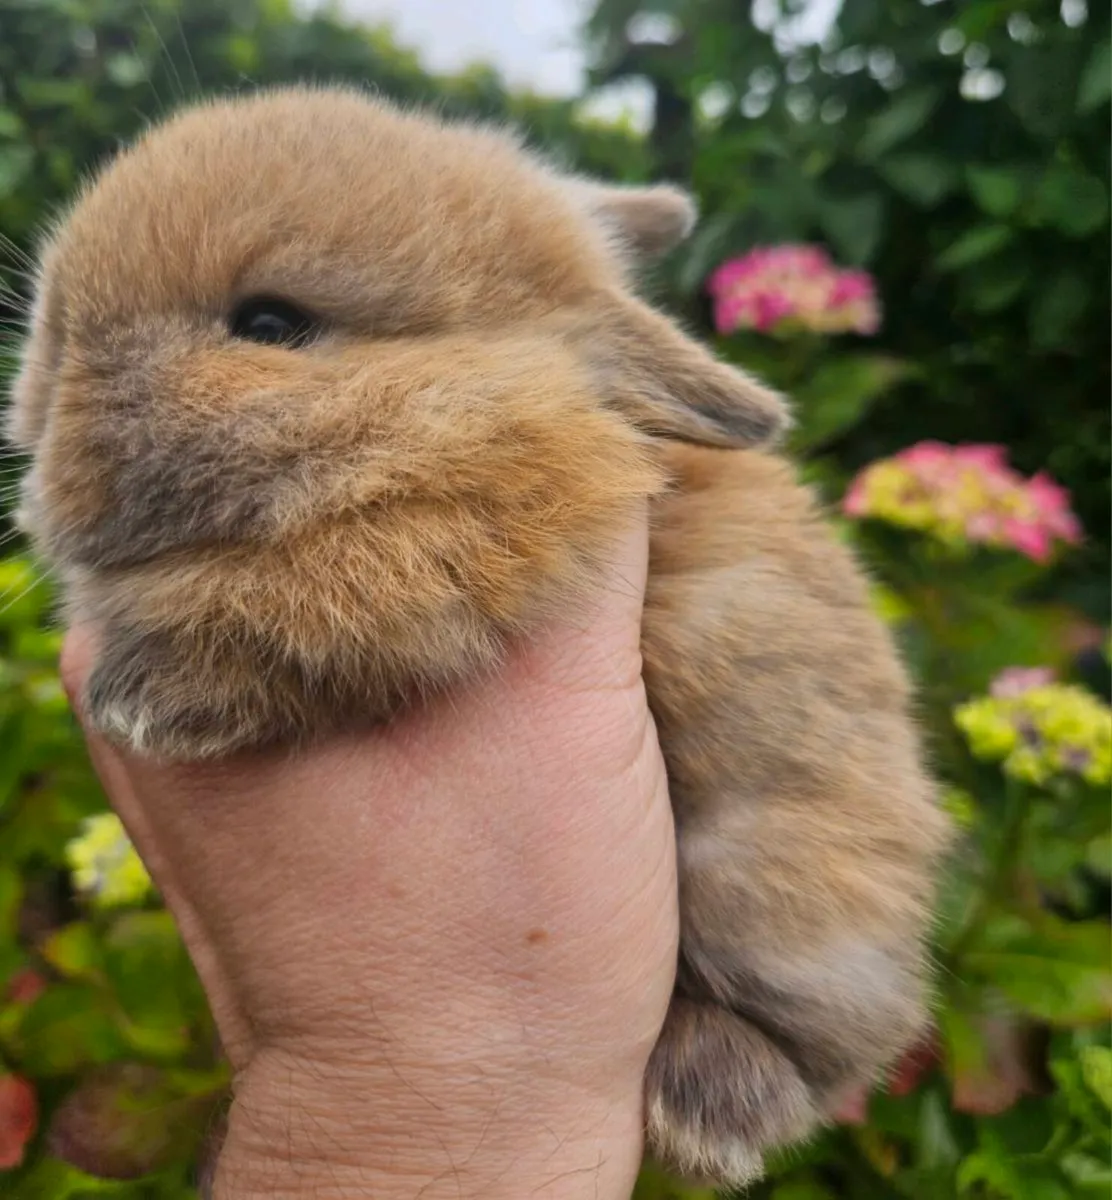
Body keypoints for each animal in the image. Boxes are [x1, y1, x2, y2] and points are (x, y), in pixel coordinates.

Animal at [6, 86, 950, 1187]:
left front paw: (144, 699)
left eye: (271, 324)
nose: (42, 430)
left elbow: (310, 602)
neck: (460, 395)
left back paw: (708, 1112)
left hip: (786, 886)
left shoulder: (463, 539)